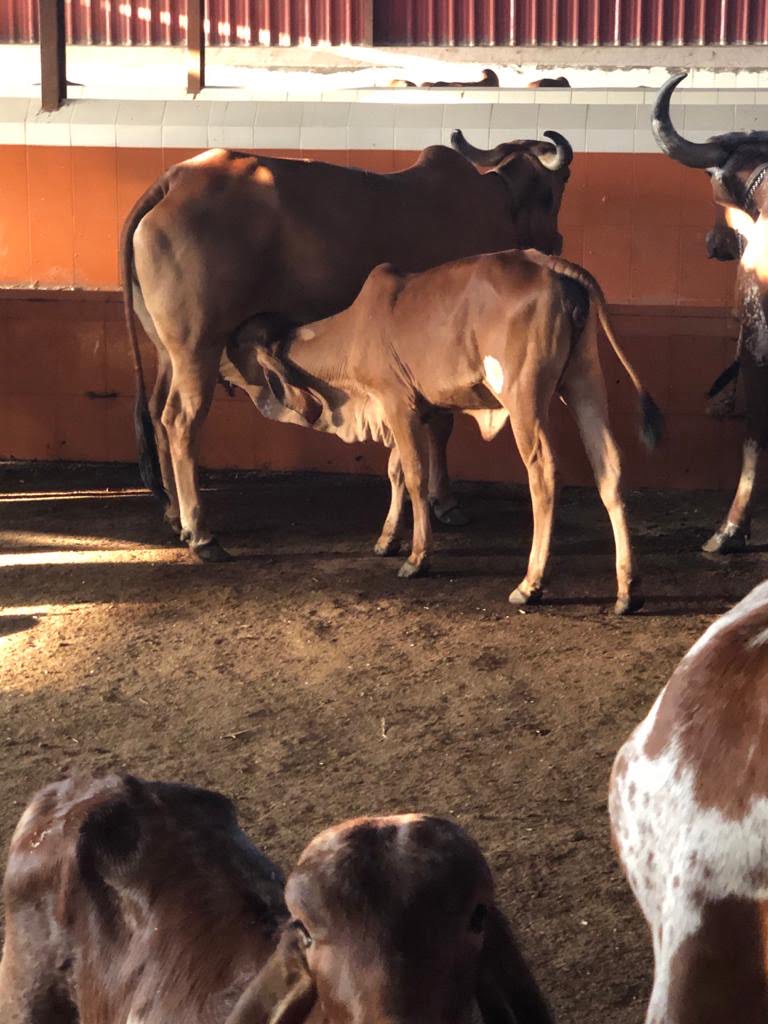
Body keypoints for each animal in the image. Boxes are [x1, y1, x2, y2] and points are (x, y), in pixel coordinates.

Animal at [227, 247, 663, 614]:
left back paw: (531, 583)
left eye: (236, 352)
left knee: (543, 475)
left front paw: (417, 557)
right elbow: (395, 471)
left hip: (523, 397)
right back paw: (628, 591)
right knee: (609, 469)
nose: (217, 371)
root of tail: (550, 264)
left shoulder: (397, 402)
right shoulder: (421, 408)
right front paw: (388, 539)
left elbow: (415, 476)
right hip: (584, 381)